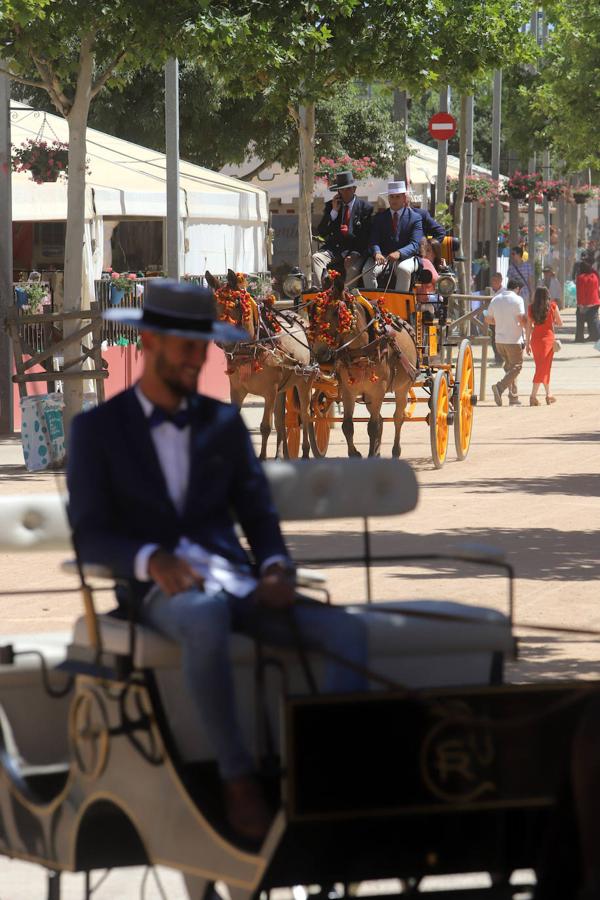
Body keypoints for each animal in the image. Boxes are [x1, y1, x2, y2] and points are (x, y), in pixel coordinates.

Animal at [207, 270, 314, 460]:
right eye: (213, 305)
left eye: (236, 303)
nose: (223, 341)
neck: (252, 350)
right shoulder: (237, 390)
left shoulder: (270, 391)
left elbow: (265, 427)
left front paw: (262, 457)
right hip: (283, 388)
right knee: (281, 420)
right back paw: (282, 454)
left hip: (305, 381)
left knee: (305, 414)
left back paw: (306, 452)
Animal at [310, 274, 418, 458]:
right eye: (314, 313)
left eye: (337, 312)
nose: (321, 355)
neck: (360, 352)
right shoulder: (348, 391)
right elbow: (347, 426)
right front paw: (356, 453)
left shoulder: (378, 391)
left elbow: (372, 427)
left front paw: (369, 455)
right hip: (367, 395)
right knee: (381, 419)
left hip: (402, 388)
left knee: (398, 418)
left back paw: (395, 451)